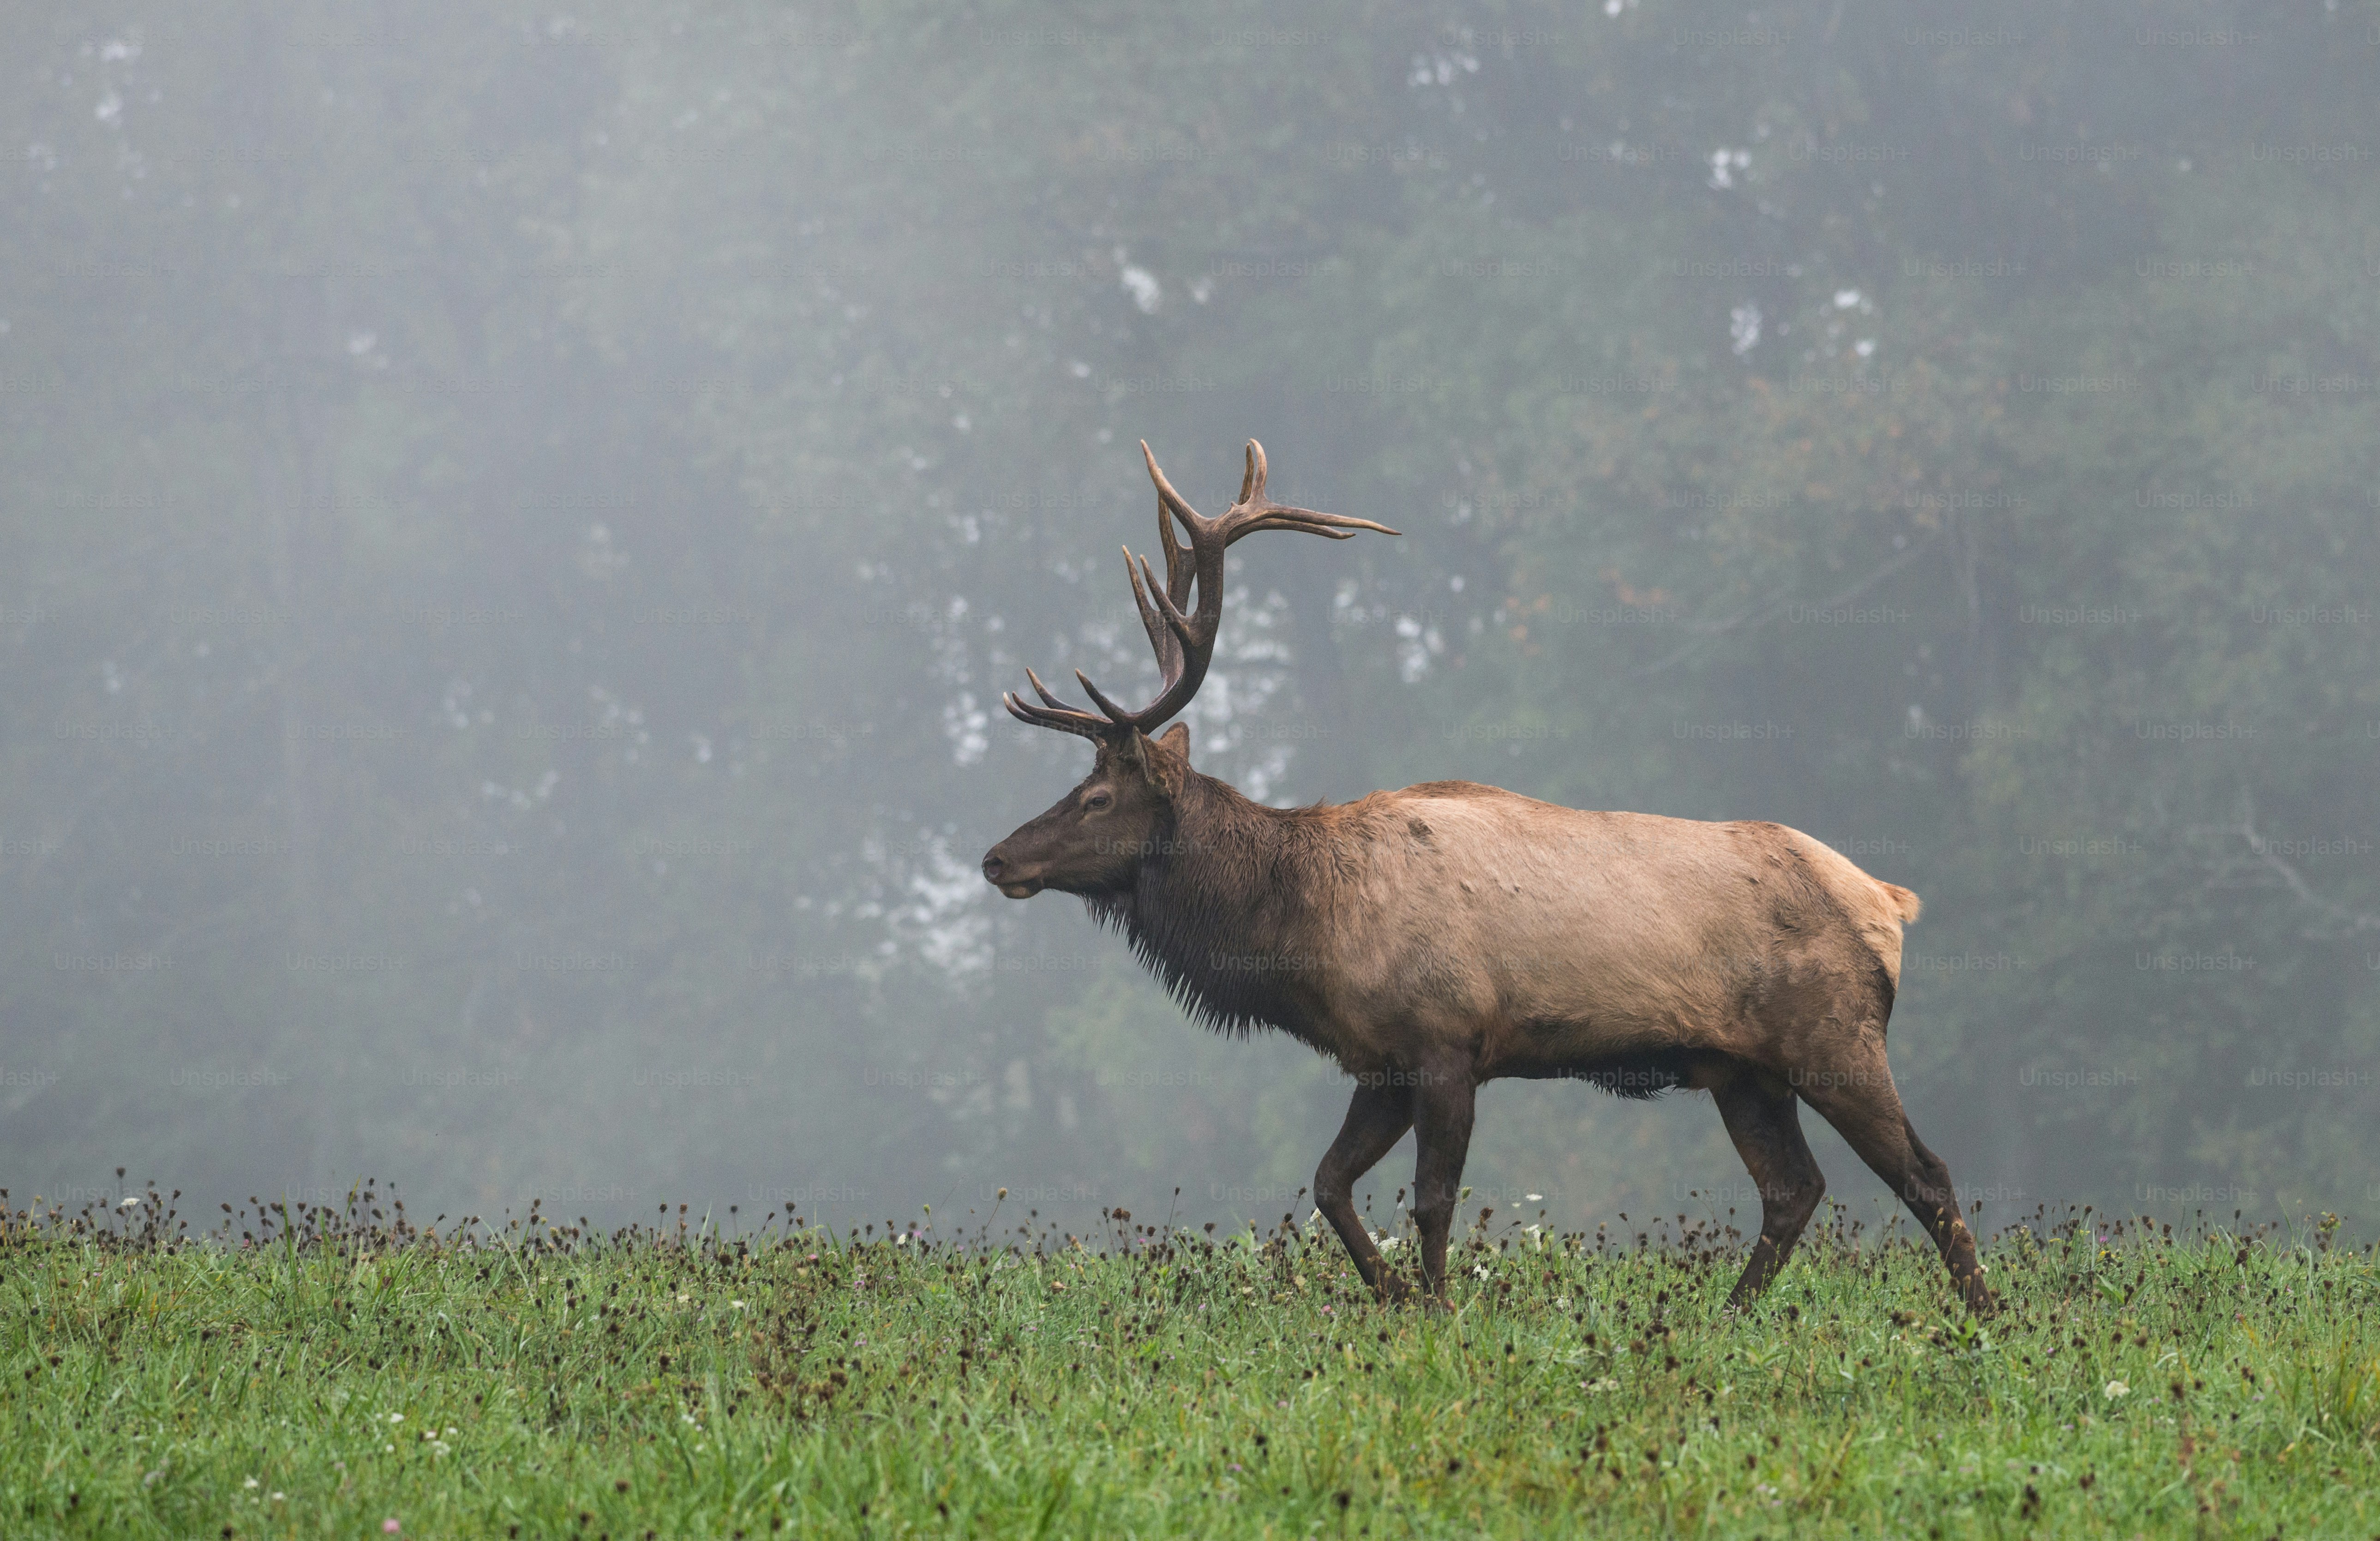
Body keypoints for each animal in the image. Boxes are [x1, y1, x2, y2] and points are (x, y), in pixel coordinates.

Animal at [980, 440, 1994, 1317]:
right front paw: (1393, 1298)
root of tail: (1888, 902)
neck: (1303, 931)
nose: (996, 857)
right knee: (1793, 1187)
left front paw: (1436, 1311)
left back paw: (1984, 1318)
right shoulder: (1381, 1058)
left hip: (1836, 1034)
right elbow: (1328, 1182)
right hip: (1742, 1068)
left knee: (1925, 1172)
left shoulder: (1445, 1039)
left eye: (1098, 794)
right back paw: (1728, 1315)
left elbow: (1430, 1199)